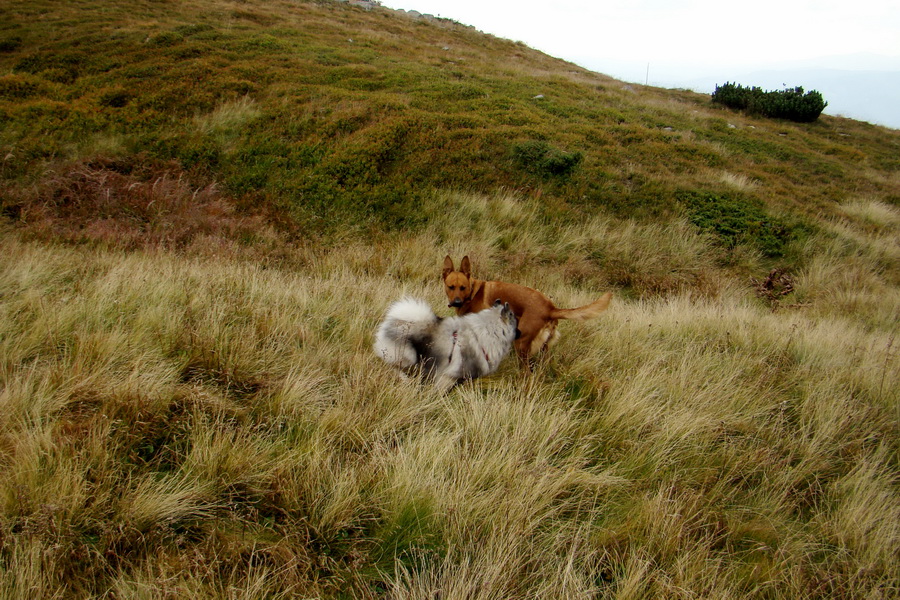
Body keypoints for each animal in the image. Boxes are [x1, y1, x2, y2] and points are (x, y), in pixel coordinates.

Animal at [442, 255, 612, 358]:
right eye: (451, 287)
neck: (472, 293)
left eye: (463, 287)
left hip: (522, 345)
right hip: (542, 350)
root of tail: (551, 308)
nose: (456, 302)